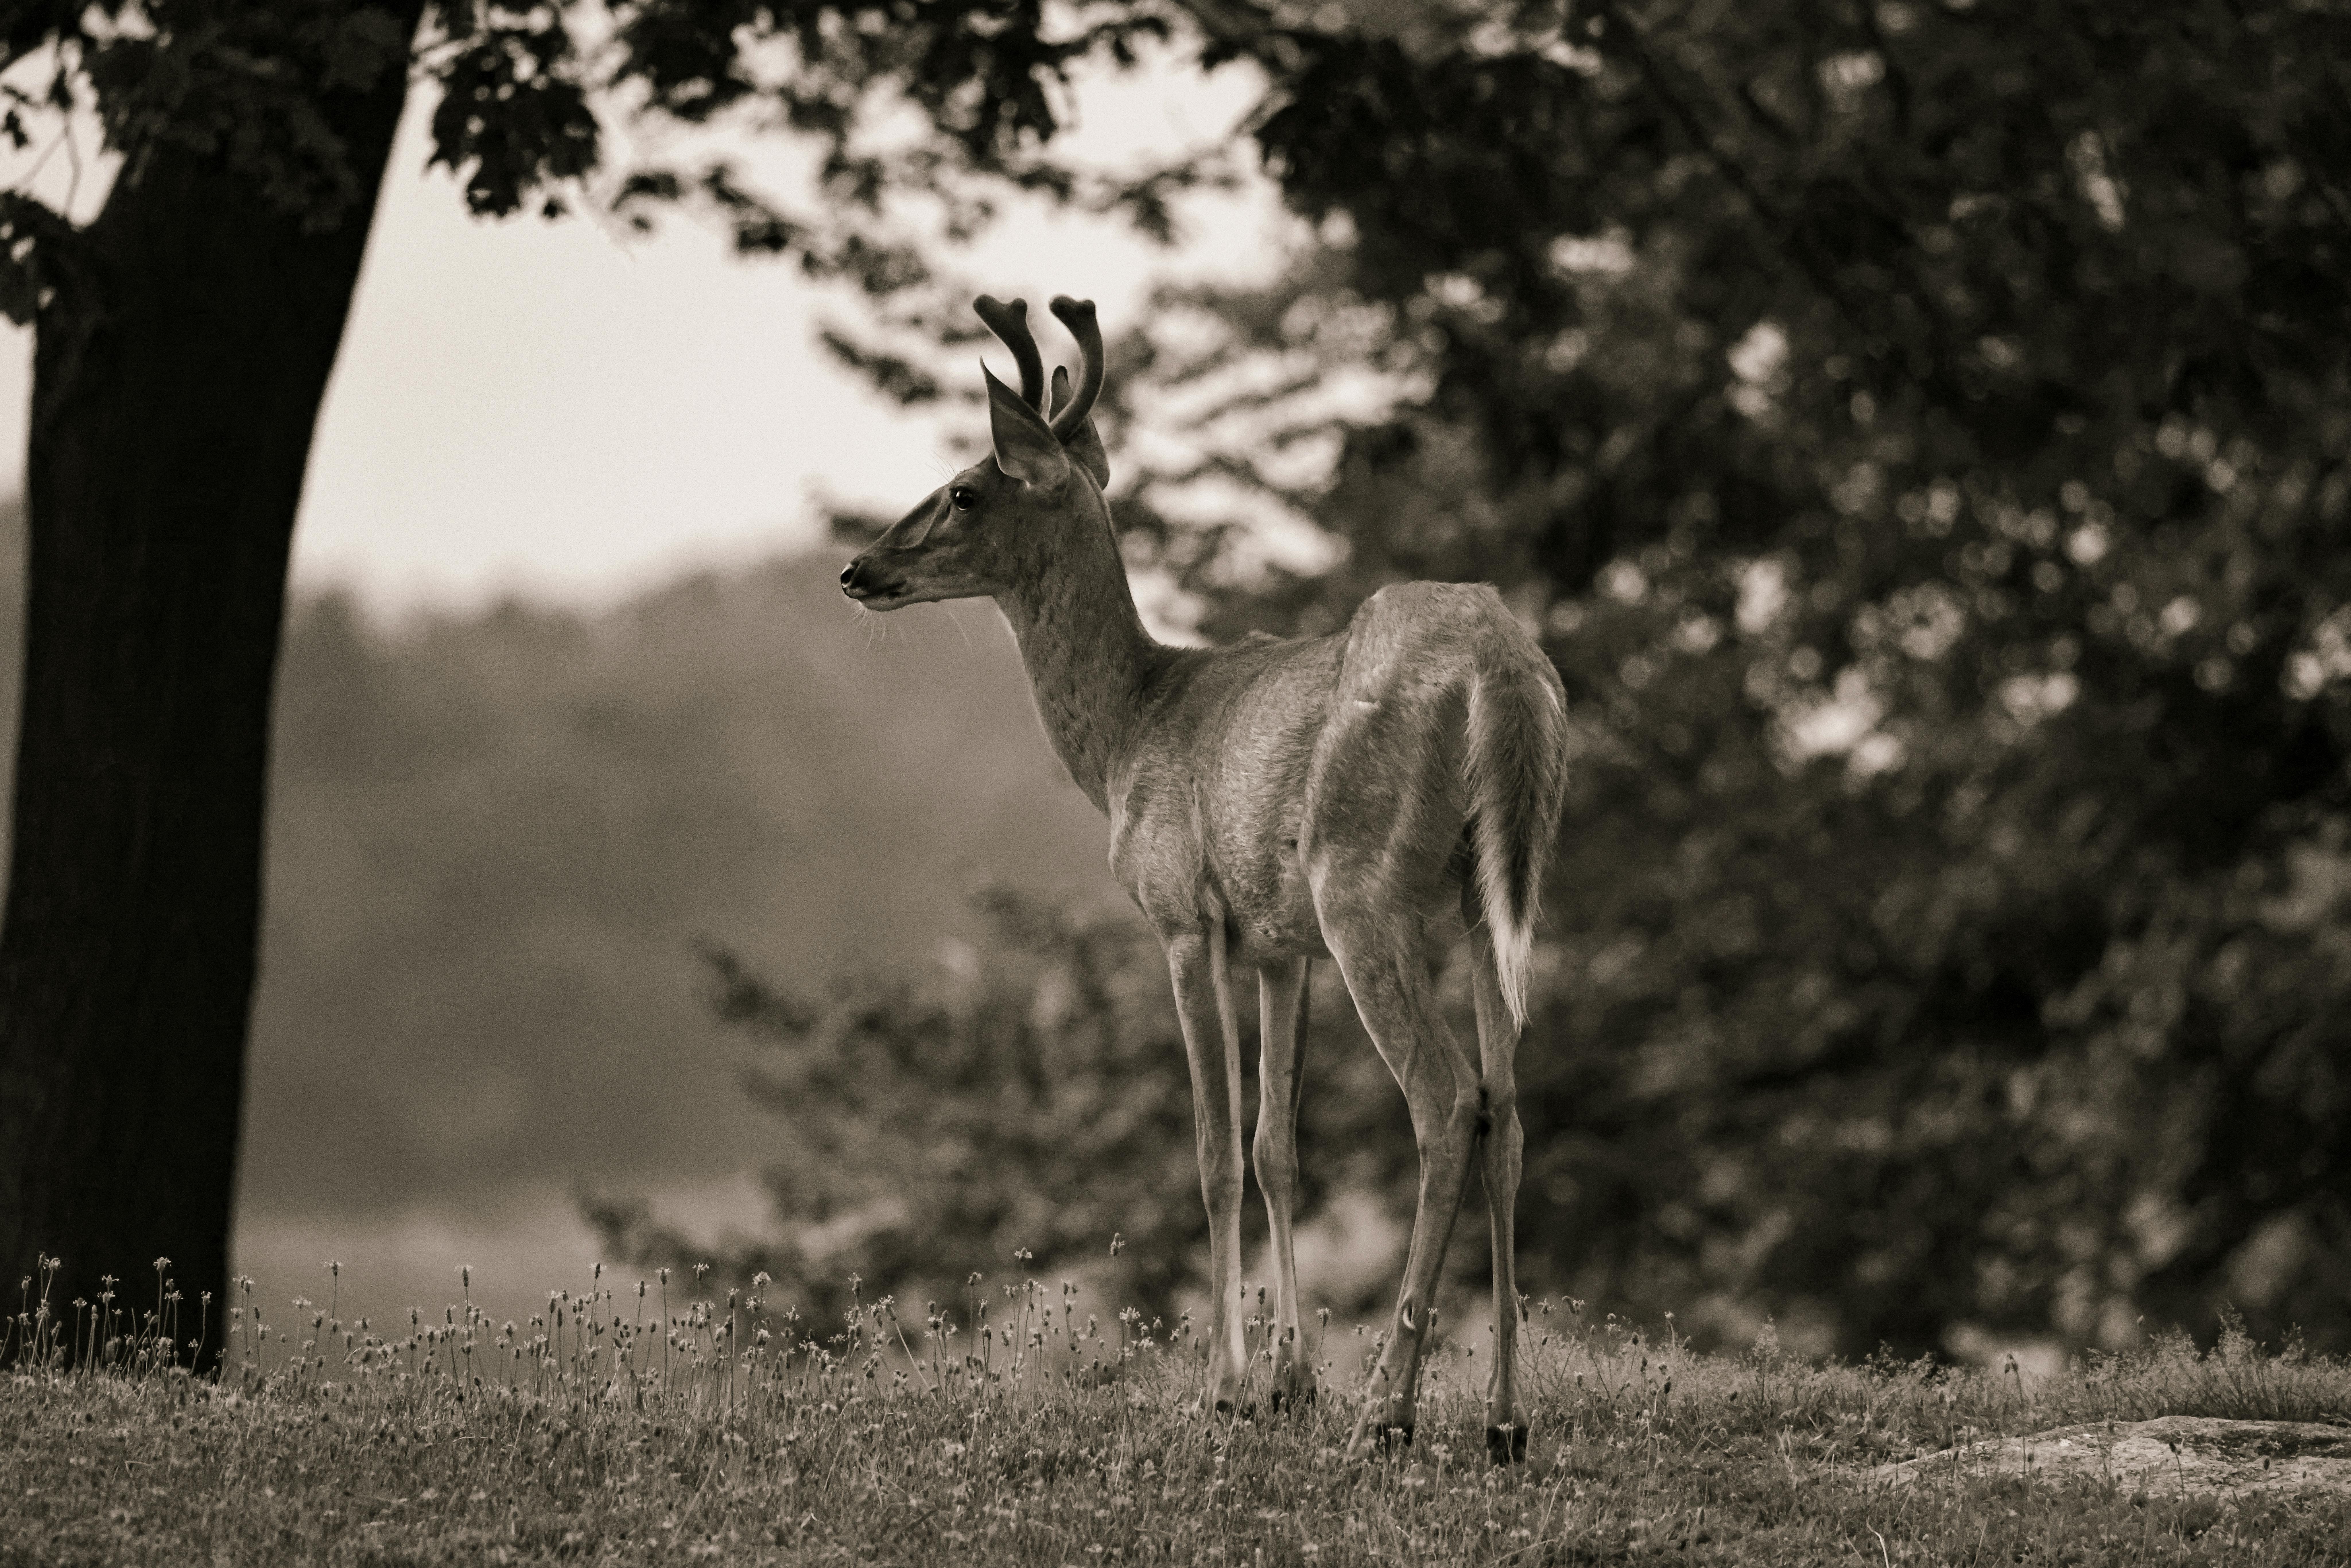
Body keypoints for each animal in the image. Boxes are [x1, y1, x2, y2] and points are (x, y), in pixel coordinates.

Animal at [839, 294, 1569, 1462]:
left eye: (964, 486)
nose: (857, 570)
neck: (1128, 733)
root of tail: (1500, 667)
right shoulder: (1279, 944)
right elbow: (1277, 1145)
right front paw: (1287, 1381)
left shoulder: (1183, 914)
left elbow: (1216, 1145)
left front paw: (1227, 1387)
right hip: (1496, 886)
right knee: (1508, 1105)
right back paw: (1502, 1418)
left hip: (1359, 880)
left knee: (1449, 1098)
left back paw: (1389, 1410)